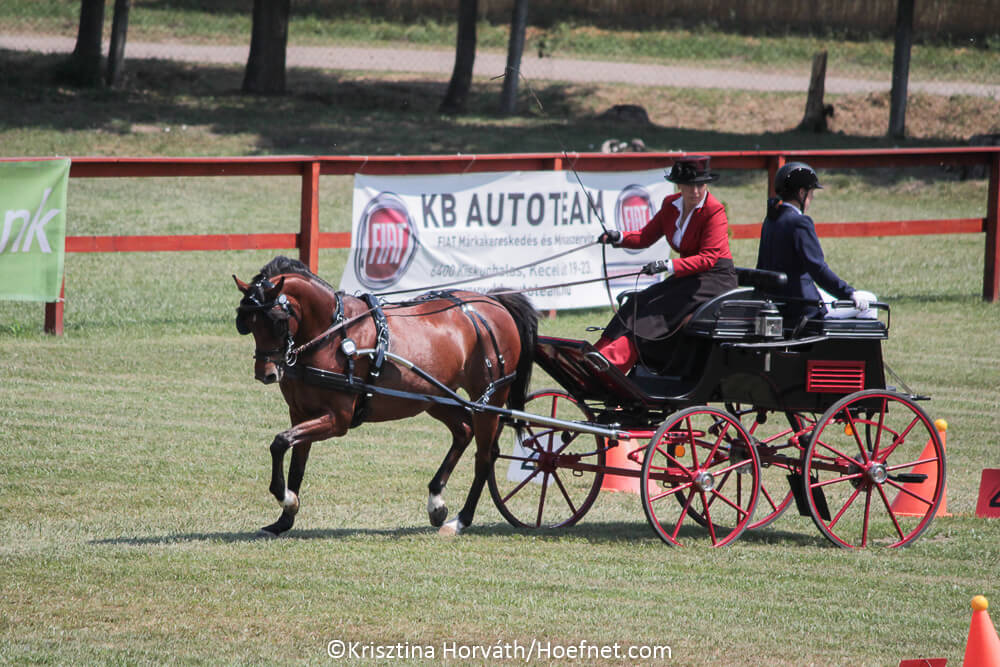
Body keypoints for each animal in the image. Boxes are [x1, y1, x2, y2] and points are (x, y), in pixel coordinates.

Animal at [234, 256, 536, 536]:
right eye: (247, 322)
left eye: (278, 321)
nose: (266, 373)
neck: (332, 335)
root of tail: (492, 302)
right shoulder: (300, 412)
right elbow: (296, 461)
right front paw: (284, 518)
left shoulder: (338, 419)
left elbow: (280, 442)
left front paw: (285, 498)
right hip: (435, 396)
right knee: (463, 430)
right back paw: (436, 502)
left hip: (489, 398)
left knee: (485, 455)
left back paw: (460, 520)